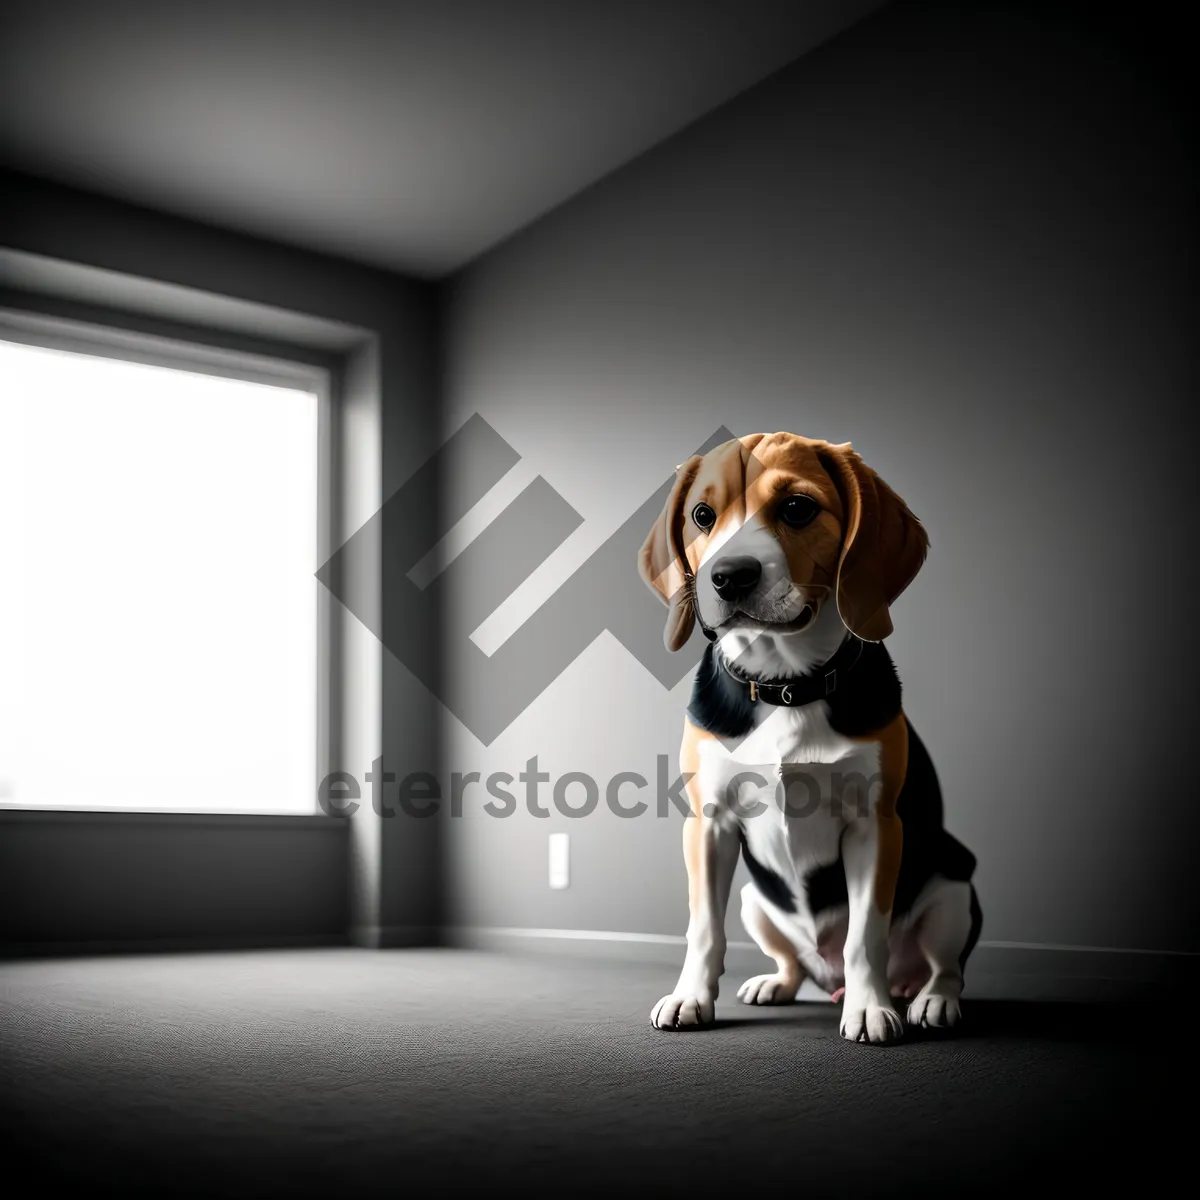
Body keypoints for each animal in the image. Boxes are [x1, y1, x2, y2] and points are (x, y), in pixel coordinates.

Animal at [643, 432, 979, 1041]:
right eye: (702, 516)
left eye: (797, 508)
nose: (729, 575)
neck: (785, 686)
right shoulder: (708, 825)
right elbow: (703, 929)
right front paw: (690, 997)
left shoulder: (876, 826)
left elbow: (865, 935)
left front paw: (869, 1009)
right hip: (755, 900)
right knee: (794, 961)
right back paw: (777, 983)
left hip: (953, 885)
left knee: (944, 966)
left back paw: (929, 1001)